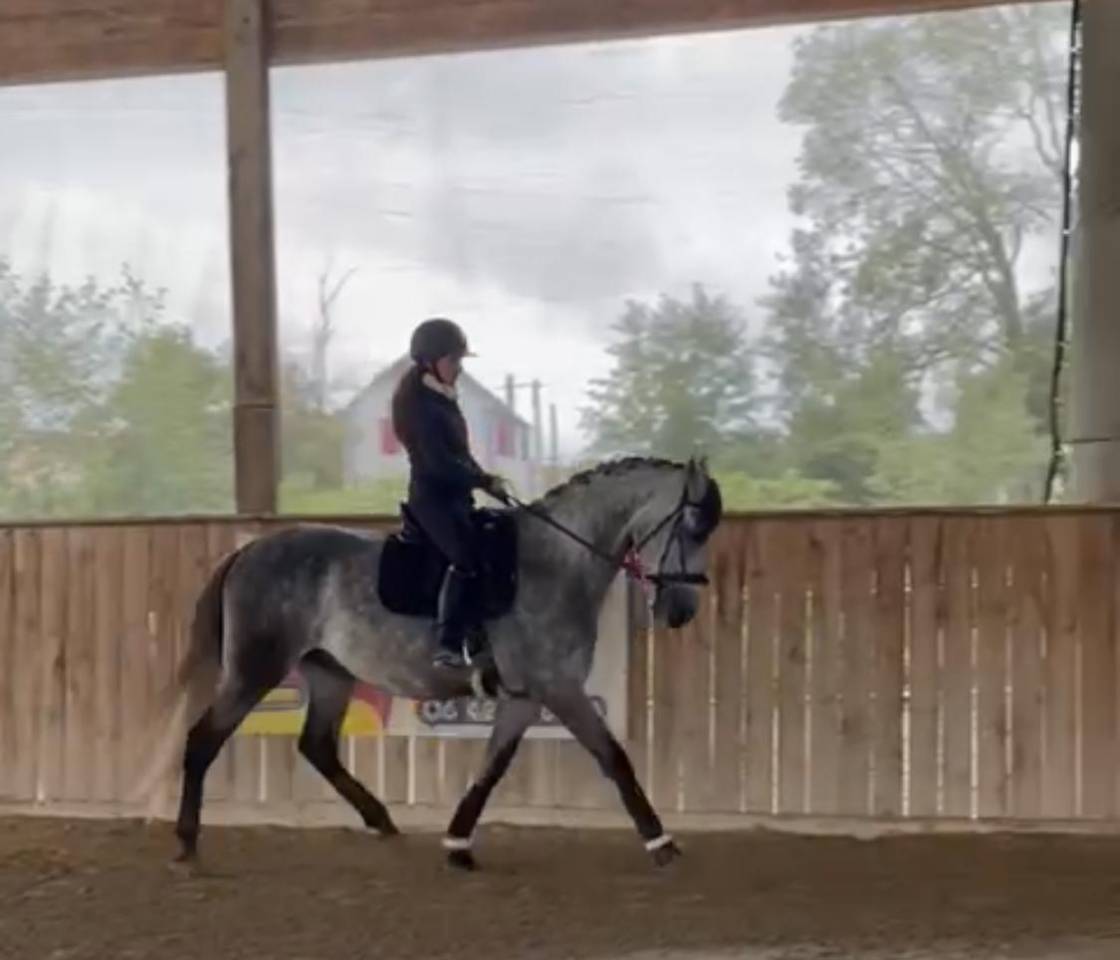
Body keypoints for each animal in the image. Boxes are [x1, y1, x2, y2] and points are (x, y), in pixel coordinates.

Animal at [134, 455, 723, 871]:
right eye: (690, 527)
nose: (681, 611)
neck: (556, 563)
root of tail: (249, 551)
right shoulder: (560, 689)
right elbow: (613, 758)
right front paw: (662, 843)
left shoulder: (524, 697)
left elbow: (491, 768)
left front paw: (458, 842)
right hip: (255, 668)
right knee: (203, 740)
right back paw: (187, 846)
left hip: (329, 671)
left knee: (317, 746)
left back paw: (382, 822)